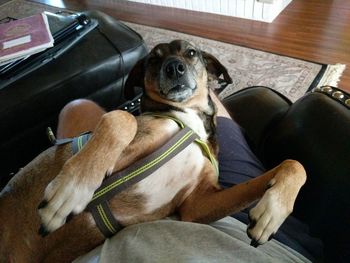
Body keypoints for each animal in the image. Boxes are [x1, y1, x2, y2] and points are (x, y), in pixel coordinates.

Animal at [0, 40, 306, 262]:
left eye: (191, 53)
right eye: (153, 60)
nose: (174, 68)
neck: (187, 118)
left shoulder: (197, 206)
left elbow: (295, 164)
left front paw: (273, 210)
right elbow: (119, 118)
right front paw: (72, 189)